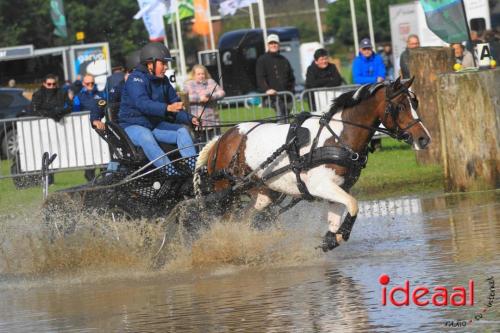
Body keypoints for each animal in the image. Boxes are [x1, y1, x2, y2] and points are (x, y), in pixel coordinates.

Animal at [191, 77, 430, 249]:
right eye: (400, 106)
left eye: (415, 102)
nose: (424, 139)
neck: (338, 137)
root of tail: (220, 139)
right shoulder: (321, 185)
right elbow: (354, 204)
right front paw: (341, 234)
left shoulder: (339, 187)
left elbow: (338, 215)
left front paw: (332, 238)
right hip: (224, 192)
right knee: (224, 220)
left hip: (263, 192)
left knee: (244, 218)